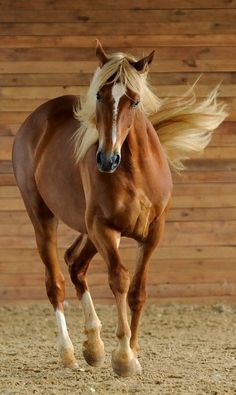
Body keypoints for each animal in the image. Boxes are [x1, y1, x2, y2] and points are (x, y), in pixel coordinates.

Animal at [12, 41, 228, 378]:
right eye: (99, 95)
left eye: (135, 101)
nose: (106, 159)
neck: (135, 172)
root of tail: (36, 119)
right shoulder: (105, 228)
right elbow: (120, 280)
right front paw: (123, 357)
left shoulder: (153, 233)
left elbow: (138, 290)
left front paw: (133, 355)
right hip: (44, 217)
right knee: (55, 283)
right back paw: (69, 352)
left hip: (86, 230)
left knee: (75, 263)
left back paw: (94, 346)